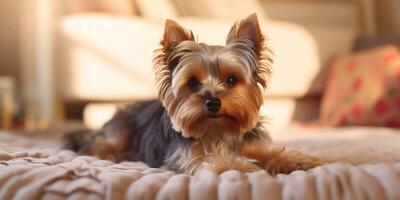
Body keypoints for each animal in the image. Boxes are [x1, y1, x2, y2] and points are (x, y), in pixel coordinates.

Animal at [64, 13, 324, 174]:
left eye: (231, 80)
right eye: (192, 83)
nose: (213, 102)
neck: (217, 131)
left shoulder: (252, 143)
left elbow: (271, 153)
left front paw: (299, 161)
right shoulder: (189, 157)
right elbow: (216, 161)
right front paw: (243, 167)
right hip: (119, 131)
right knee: (95, 145)